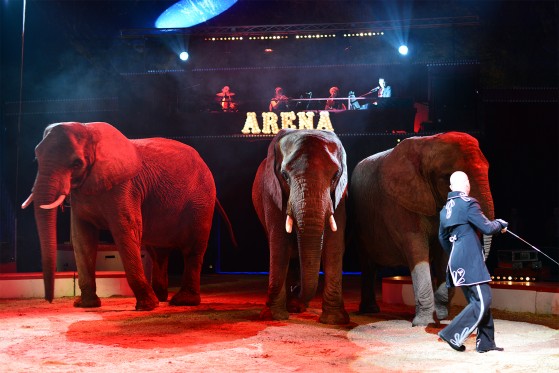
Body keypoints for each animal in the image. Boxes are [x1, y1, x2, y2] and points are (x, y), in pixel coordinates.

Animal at [23, 120, 233, 310]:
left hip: (201, 201)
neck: (89, 131)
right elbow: (82, 238)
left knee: (192, 248)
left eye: (76, 163)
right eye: (36, 158)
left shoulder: (126, 188)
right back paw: (161, 298)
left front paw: (146, 306)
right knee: (158, 253)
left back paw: (181, 302)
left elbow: (125, 231)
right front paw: (85, 305)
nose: (49, 300)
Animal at [254, 128, 350, 322]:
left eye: (336, 176)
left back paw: (296, 306)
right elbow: (279, 244)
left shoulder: (340, 196)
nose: (296, 290)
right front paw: (273, 316)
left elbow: (334, 245)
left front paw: (335, 320)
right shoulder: (271, 193)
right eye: (284, 175)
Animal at [350, 132, 494, 324]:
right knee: (368, 265)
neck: (429, 143)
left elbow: (443, 254)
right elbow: (416, 248)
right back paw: (369, 311)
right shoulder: (401, 203)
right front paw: (423, 322)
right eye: (448, 177)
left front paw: (442, 317)